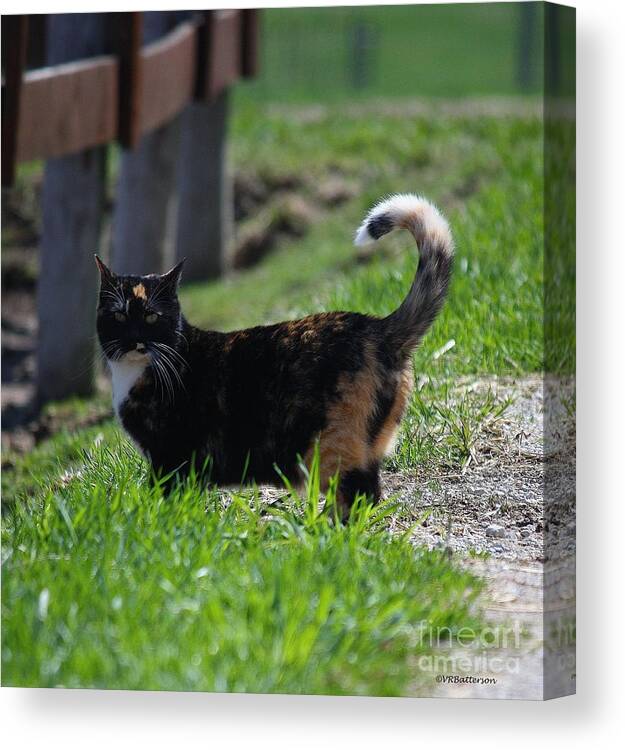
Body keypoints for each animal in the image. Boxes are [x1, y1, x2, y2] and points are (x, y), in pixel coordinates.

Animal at [95, 192, 450, 516]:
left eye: (151, 317)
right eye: (119, 316)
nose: (135, 339)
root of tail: (378, 327)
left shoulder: (169, 460)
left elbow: (168, 501)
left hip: (330, 445)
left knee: (358, 494)